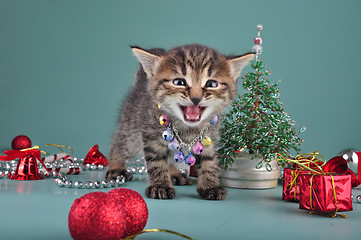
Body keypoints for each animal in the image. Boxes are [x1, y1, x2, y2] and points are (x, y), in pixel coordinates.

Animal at [107, 44, 253, 200]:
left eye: (212, 84)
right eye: (179, 82)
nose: (196, 98)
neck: (187, 128)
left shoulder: (209, 138)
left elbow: (209, 161)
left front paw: (210, 186)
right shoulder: (151, 137)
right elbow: (157, 162)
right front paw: (160, 185)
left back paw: (174, 173)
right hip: (131, 127)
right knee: (120, 142)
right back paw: (116, 167)